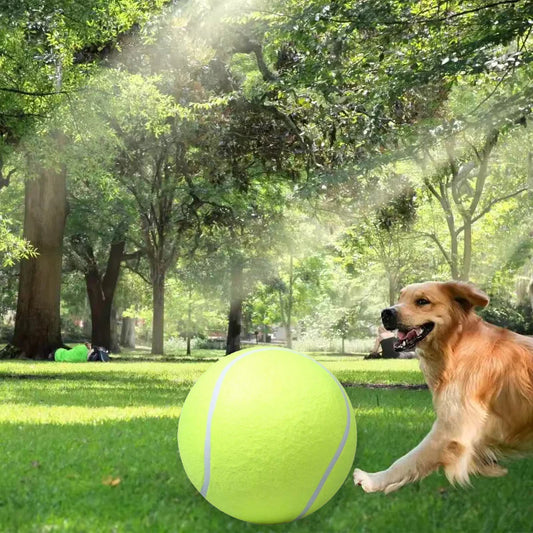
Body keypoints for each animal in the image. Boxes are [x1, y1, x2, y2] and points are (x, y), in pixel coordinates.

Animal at [354, 280, 532, 492]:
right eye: (400, 298)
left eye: (422, 301)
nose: (386, 313)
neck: (455, 344)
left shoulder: (452, 428)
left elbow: (406, 461)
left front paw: (373, 480)